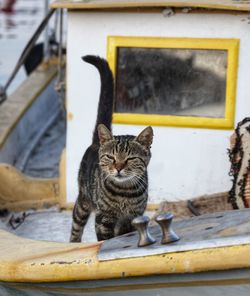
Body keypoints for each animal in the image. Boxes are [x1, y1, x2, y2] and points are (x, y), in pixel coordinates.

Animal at [69, 56, 153, 243]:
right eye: (111, 157)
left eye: (130, 159)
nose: (119, 167)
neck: (124, 192)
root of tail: (96, 142)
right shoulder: (104, 218)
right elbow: (105, 240)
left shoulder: (133, 218)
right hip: (83, 201)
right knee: (76, 225)